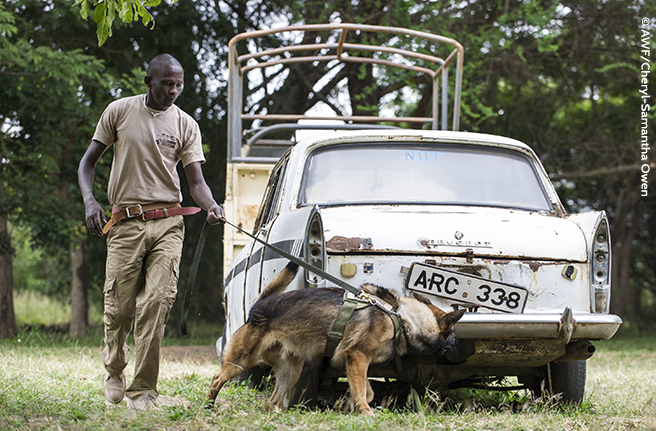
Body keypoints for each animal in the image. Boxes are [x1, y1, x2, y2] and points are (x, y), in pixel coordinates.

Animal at [208, 262, 464, 416]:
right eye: (453, 334)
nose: (458, 348)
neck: (401, 317)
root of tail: (259, 306)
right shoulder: (357, 356)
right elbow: (362, 391)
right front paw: (365, 412)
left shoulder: (358, 363)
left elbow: (366, 390)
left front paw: (352, 406)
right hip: (241, 361)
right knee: (216, 379)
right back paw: (209, 405)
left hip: (290, 371)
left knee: (272, 401)